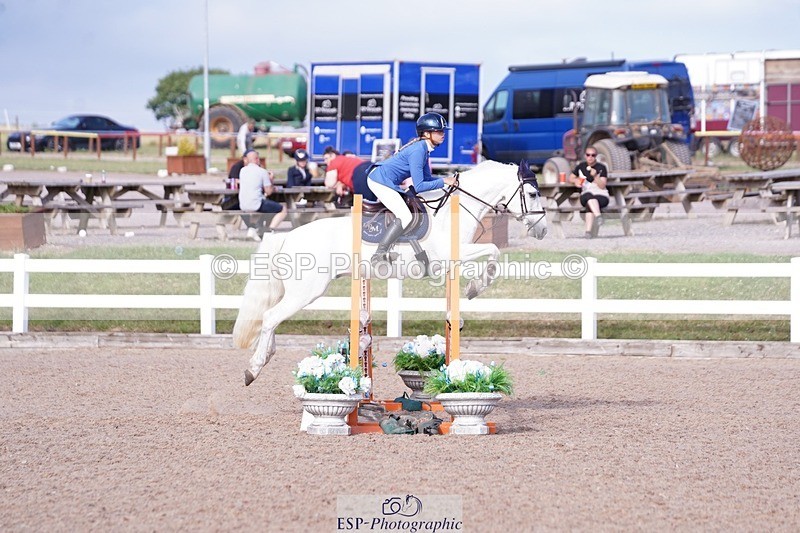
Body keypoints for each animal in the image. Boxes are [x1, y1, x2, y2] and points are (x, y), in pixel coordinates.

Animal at [233, 160, 548, 385]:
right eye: (533, 194)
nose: (543, 230)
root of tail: (287, 236)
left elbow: (492, 254)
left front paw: (467, 299)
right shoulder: (451, 255)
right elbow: (493, 250)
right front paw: (475, 287)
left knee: (271, 319)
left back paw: (265, 356)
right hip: (306, 290)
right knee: (271, 317)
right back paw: (254, 369)